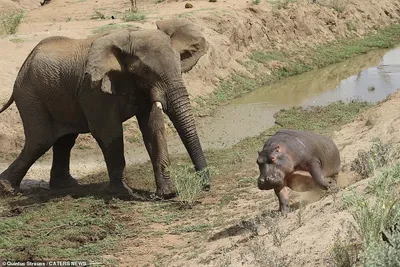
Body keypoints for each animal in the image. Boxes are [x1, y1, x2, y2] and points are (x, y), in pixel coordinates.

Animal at [0, 18, 211, 199]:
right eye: (145, 71)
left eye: (179, 63)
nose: (206, 186)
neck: (131, 36)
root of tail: (23, 65)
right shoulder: (93, 89)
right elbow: (109, 132)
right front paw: (124, 194)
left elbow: (153, 129)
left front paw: (168, 194)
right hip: (30, 95)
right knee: (40, 140)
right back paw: (7, 189)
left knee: (65, 140)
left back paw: (66, 186)